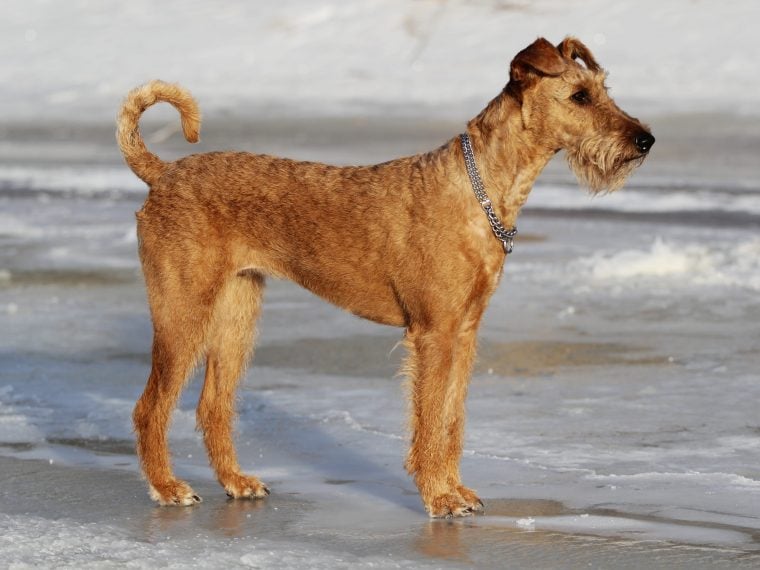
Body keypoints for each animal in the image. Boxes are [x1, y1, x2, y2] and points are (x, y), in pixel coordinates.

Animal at [119, 35, 652, 516]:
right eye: (579, 96)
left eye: (604, 87)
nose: (645, 139)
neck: (480, 188)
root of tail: (163, 174)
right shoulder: (433, 333)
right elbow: (430, 419)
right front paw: (439, 497)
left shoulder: (464, 331)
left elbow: (452, 419)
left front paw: (456, 490)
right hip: (183, 314)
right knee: (150, 407)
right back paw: (168, 488)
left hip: (237, 316)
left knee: (213, 404)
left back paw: (237, 482)